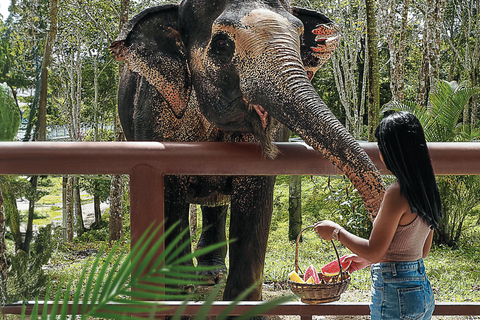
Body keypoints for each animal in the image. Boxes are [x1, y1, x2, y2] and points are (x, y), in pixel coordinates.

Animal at [109, 0, 386, 302]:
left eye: (300, 35)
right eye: (221, 44)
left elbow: (256, 198)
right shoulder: (155, 114)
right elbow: (168, 200)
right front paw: (174, 293)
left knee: (215, 204)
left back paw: (211, 275)